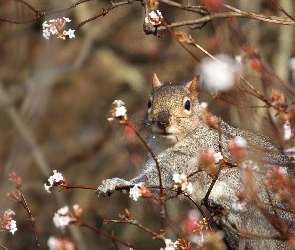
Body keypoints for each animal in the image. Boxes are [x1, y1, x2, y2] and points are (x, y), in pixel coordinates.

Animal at [96, 73, 294, 249]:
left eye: (187, 104)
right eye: (149, 103)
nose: (163, 121)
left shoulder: (187, 157)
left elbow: (153, 181)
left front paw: (117, 183)